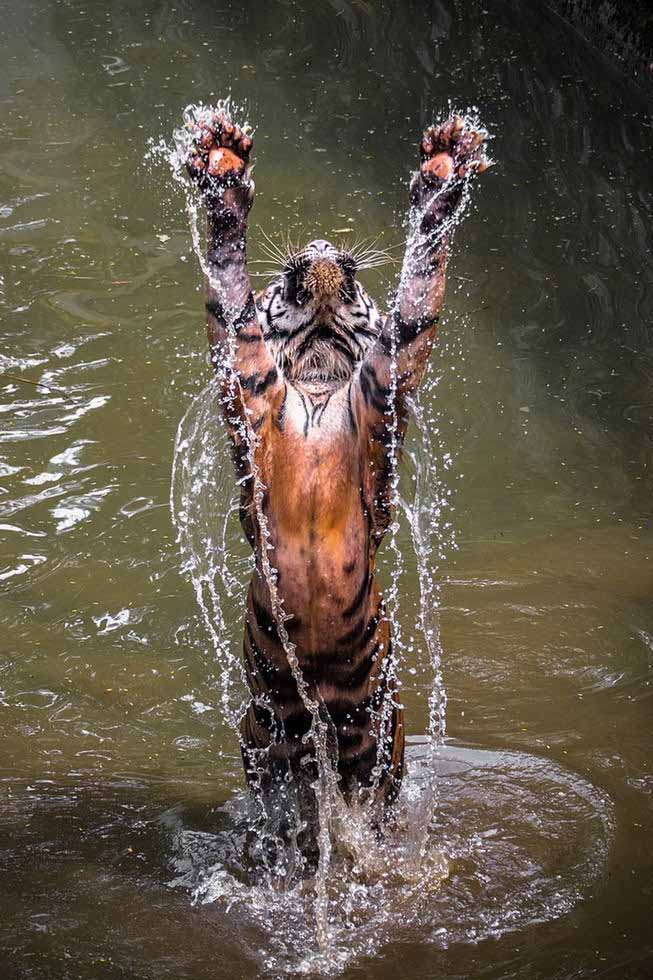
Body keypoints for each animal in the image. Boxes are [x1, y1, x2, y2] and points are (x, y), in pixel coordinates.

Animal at [180, 103, 488, 848]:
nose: (323, 249)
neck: (319, 379)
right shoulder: (246, 378)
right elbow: (228, 296)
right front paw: (223, 170)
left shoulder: (388, 376)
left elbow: (418, 292)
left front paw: (443, 168)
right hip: (264, 744)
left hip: (378, 745)